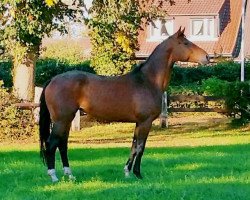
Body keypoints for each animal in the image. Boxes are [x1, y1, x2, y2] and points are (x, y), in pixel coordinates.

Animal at [39, 27, 209, 182]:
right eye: (186, 43)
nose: (207, 57)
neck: (148, 81)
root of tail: (53, 79)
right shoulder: (145, 122)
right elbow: (140, 147)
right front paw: (138, 174)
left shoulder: (139, 123)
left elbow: (133, 146)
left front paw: (127, 172)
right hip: (62, 120)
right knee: (52, 143)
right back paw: (53, 176)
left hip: (67, 120)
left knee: (62, 144)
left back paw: (70, 175)